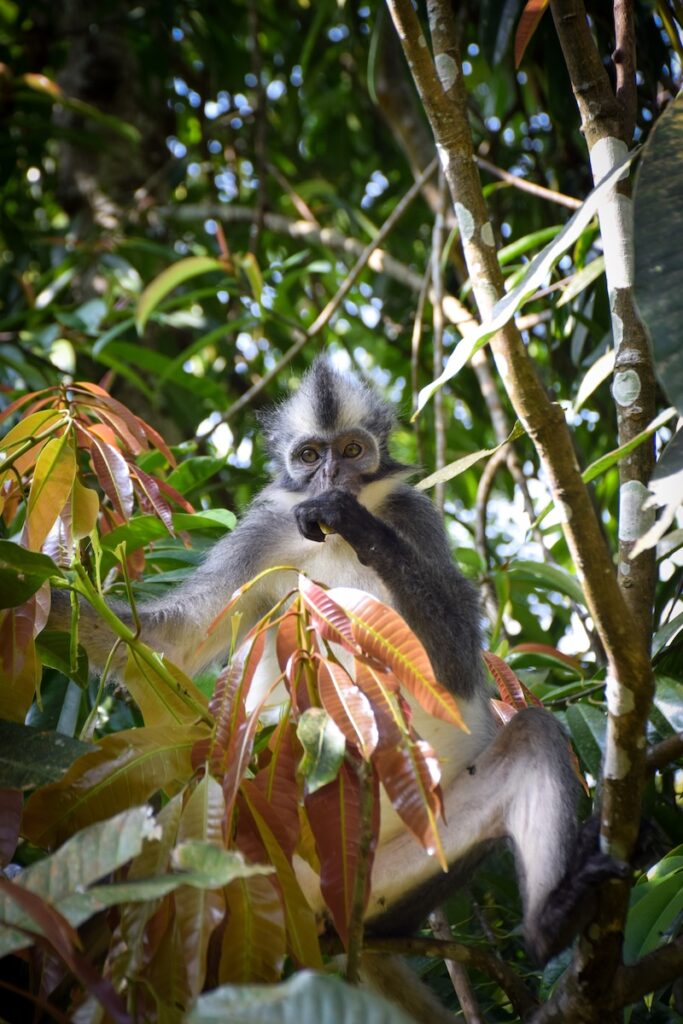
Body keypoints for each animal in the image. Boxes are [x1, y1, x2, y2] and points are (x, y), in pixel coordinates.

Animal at [52, 357, 621, 967]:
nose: (330, 477)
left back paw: (551, 921)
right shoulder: (261, 537)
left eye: (351, 450)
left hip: (406, 865)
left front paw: (354, 522)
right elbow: (169, 642)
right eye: (308, 456)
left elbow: (457, 667)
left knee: (534, 733)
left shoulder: (412, 516)